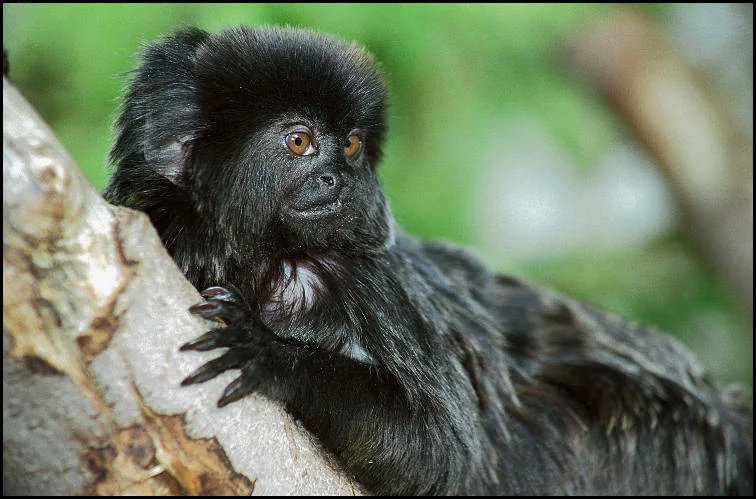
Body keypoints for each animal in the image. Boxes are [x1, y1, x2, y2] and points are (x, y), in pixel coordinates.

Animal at [103, 25, 753, 495]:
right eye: (299, 141)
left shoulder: (365, 281)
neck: (259, 256)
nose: (337, 178)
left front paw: (272, 354)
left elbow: (441, 452)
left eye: (350, 145)